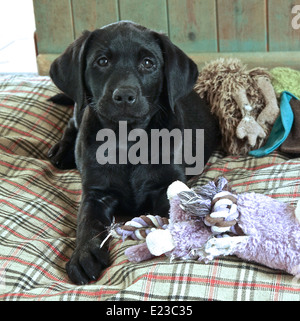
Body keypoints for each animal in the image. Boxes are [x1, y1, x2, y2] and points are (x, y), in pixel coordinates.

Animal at [48, 21, 219, 284]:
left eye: (148, 63)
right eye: (102, 61)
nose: (124, 95)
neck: (128, 141)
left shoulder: (166, 185)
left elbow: (175, 214)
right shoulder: (95, 193)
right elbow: (87, 222)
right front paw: (84, 254)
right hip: (80, 107)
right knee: (71, 122)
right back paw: (61, 151)